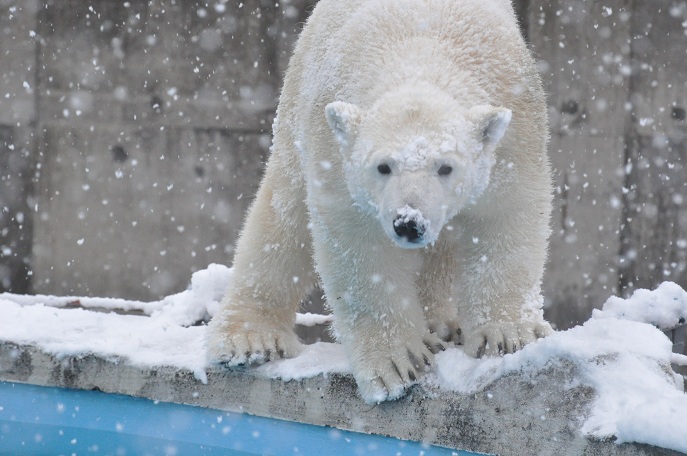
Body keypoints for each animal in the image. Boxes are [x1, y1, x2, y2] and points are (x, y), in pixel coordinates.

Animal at [207, 0, 556, 402]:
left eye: (445, 167)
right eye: (383, 166)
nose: (409, 223)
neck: (423, 53)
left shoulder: (516, 133)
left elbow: (505, 219)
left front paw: (508, 337)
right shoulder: (336, 155)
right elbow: (362, 250)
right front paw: (399, 363)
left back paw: (440, 323)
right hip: (298, 97)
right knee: (282, 213)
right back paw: (248, 339)